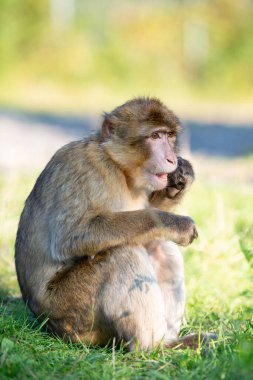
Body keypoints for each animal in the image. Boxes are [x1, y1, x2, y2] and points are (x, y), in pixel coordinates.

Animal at [14, 97, 214, 350]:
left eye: (169, 136)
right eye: (155, 136)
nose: (171, 159)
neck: (117, 166)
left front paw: (180, 180)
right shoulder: (86, 168)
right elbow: (71, 236)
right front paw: (177, 224)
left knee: (160, 246)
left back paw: (169, 342)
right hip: (72, 315)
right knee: (120, 254)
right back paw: (152, 347)